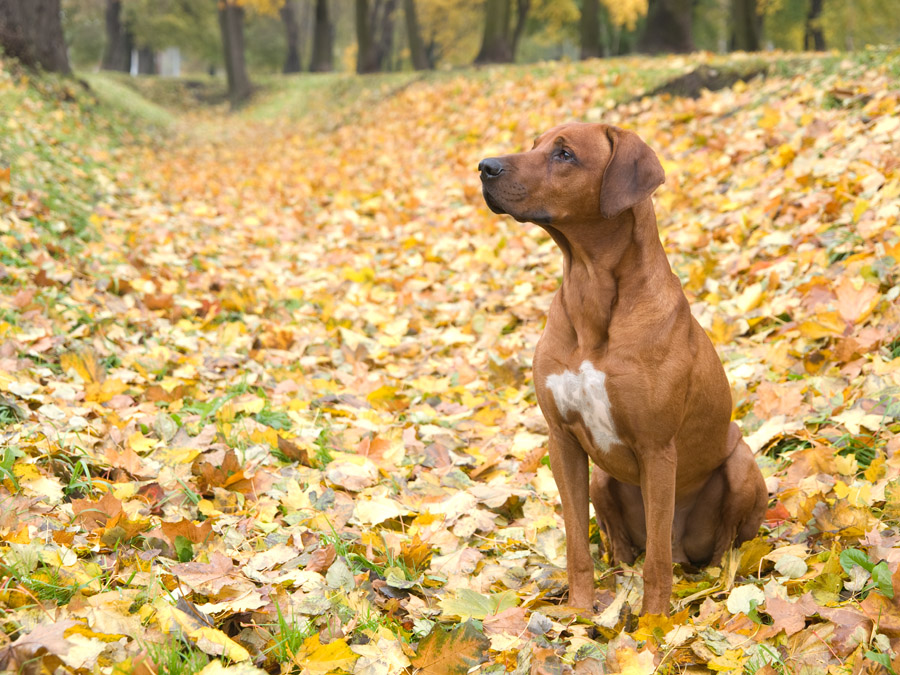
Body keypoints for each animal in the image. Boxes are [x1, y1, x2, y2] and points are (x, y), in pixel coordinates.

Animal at [478, 124, 768, 616]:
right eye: (535, 145)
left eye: (564, 154)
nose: (484, 166)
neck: (589, 287)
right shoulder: (561, 439)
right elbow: (577, 543)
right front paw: (578, 613)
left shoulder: (657, 450)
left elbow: (656, 566)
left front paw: (653, 624)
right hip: (601, 477)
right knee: (622, 541)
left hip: (742, 464)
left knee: (715, 545)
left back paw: (714, 579)